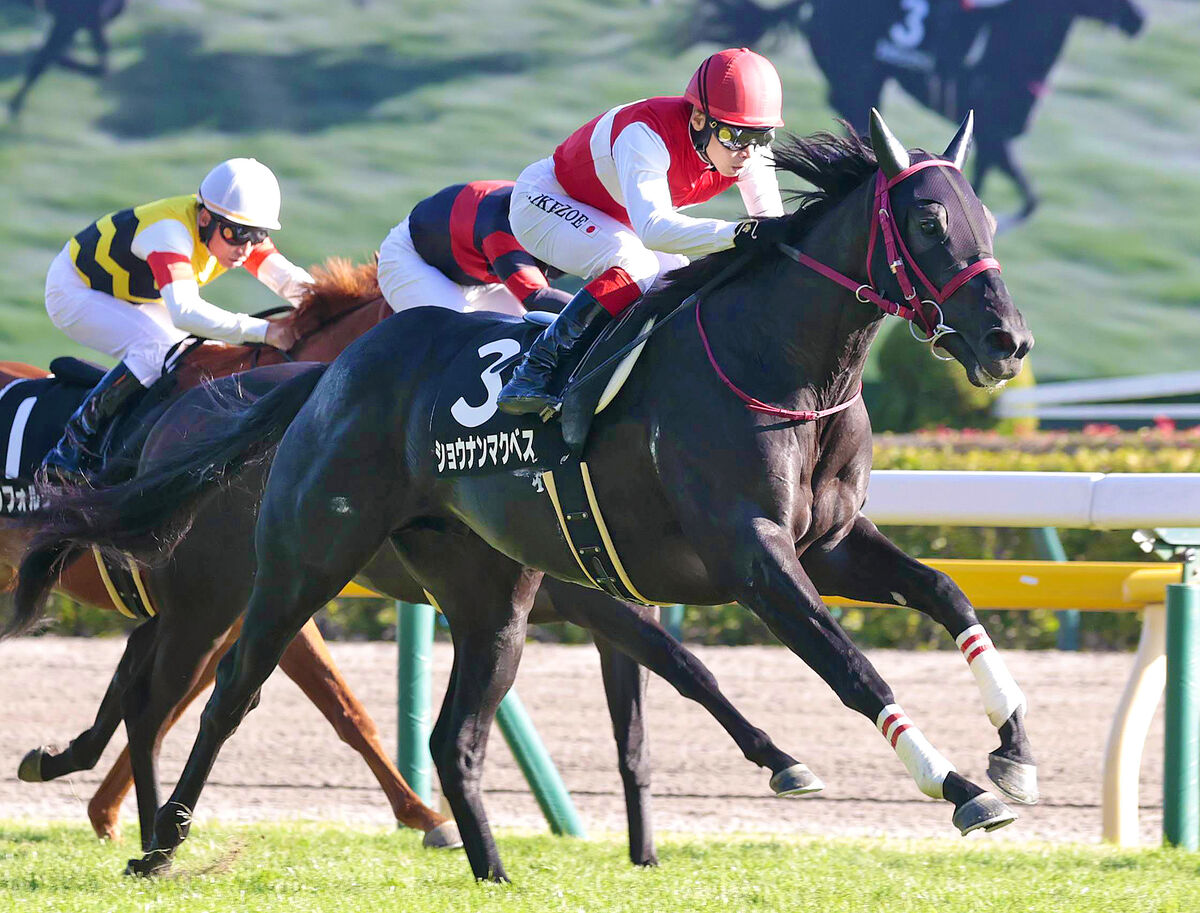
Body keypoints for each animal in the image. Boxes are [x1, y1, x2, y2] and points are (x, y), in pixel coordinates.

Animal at [14, 110, 1036, 878]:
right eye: (930, 225)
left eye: (987, 220)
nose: (1007, 342)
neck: (779, 366)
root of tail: (335, 370)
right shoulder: (751, 558)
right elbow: (847, 669)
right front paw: (958, 788)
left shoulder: (827, 543)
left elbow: (947, 594)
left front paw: (1015, 754)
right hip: (291, 566)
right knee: (222, 693)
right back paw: (159, 846)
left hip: (487, 596)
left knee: (449, 737)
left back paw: (491, 872)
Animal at [686, 0, 1142, 226]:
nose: (1138, 19)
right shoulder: (995, 133)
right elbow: (1026, 198)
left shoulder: (993, 138)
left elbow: (1009, 192)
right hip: (859, 79)